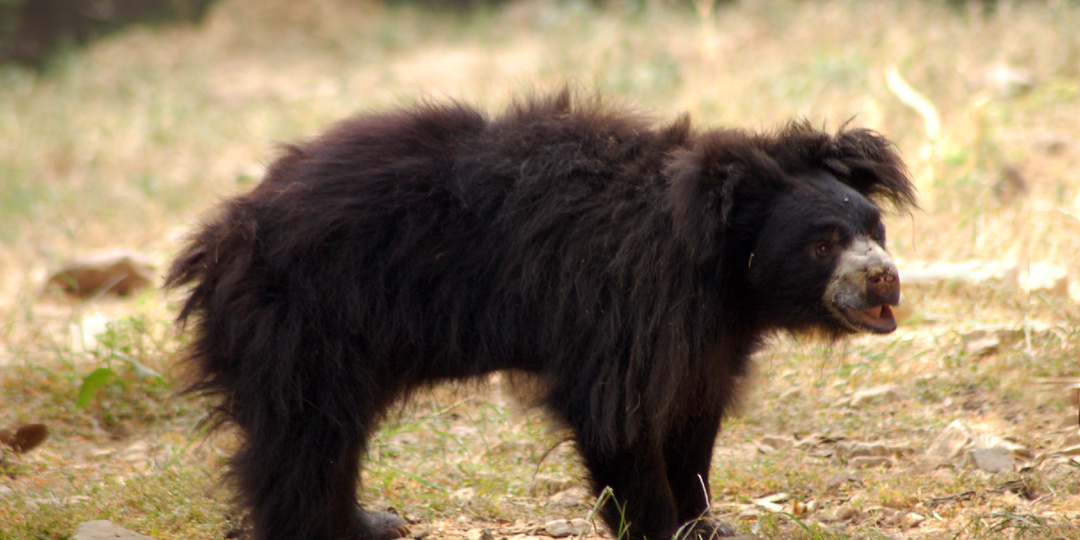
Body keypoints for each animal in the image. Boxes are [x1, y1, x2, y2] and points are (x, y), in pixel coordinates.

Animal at [167, 90, 916, 540]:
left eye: (874, 228)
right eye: (822, 243)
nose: (885, 276)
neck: (722, 269)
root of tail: (228, 230)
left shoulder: (706, 338)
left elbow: (690, 424)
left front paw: (705, 524)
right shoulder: (625, 305)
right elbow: (619, 418)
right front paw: (658, 527)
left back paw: (369, 522)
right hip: (309, 321)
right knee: (305, 437)